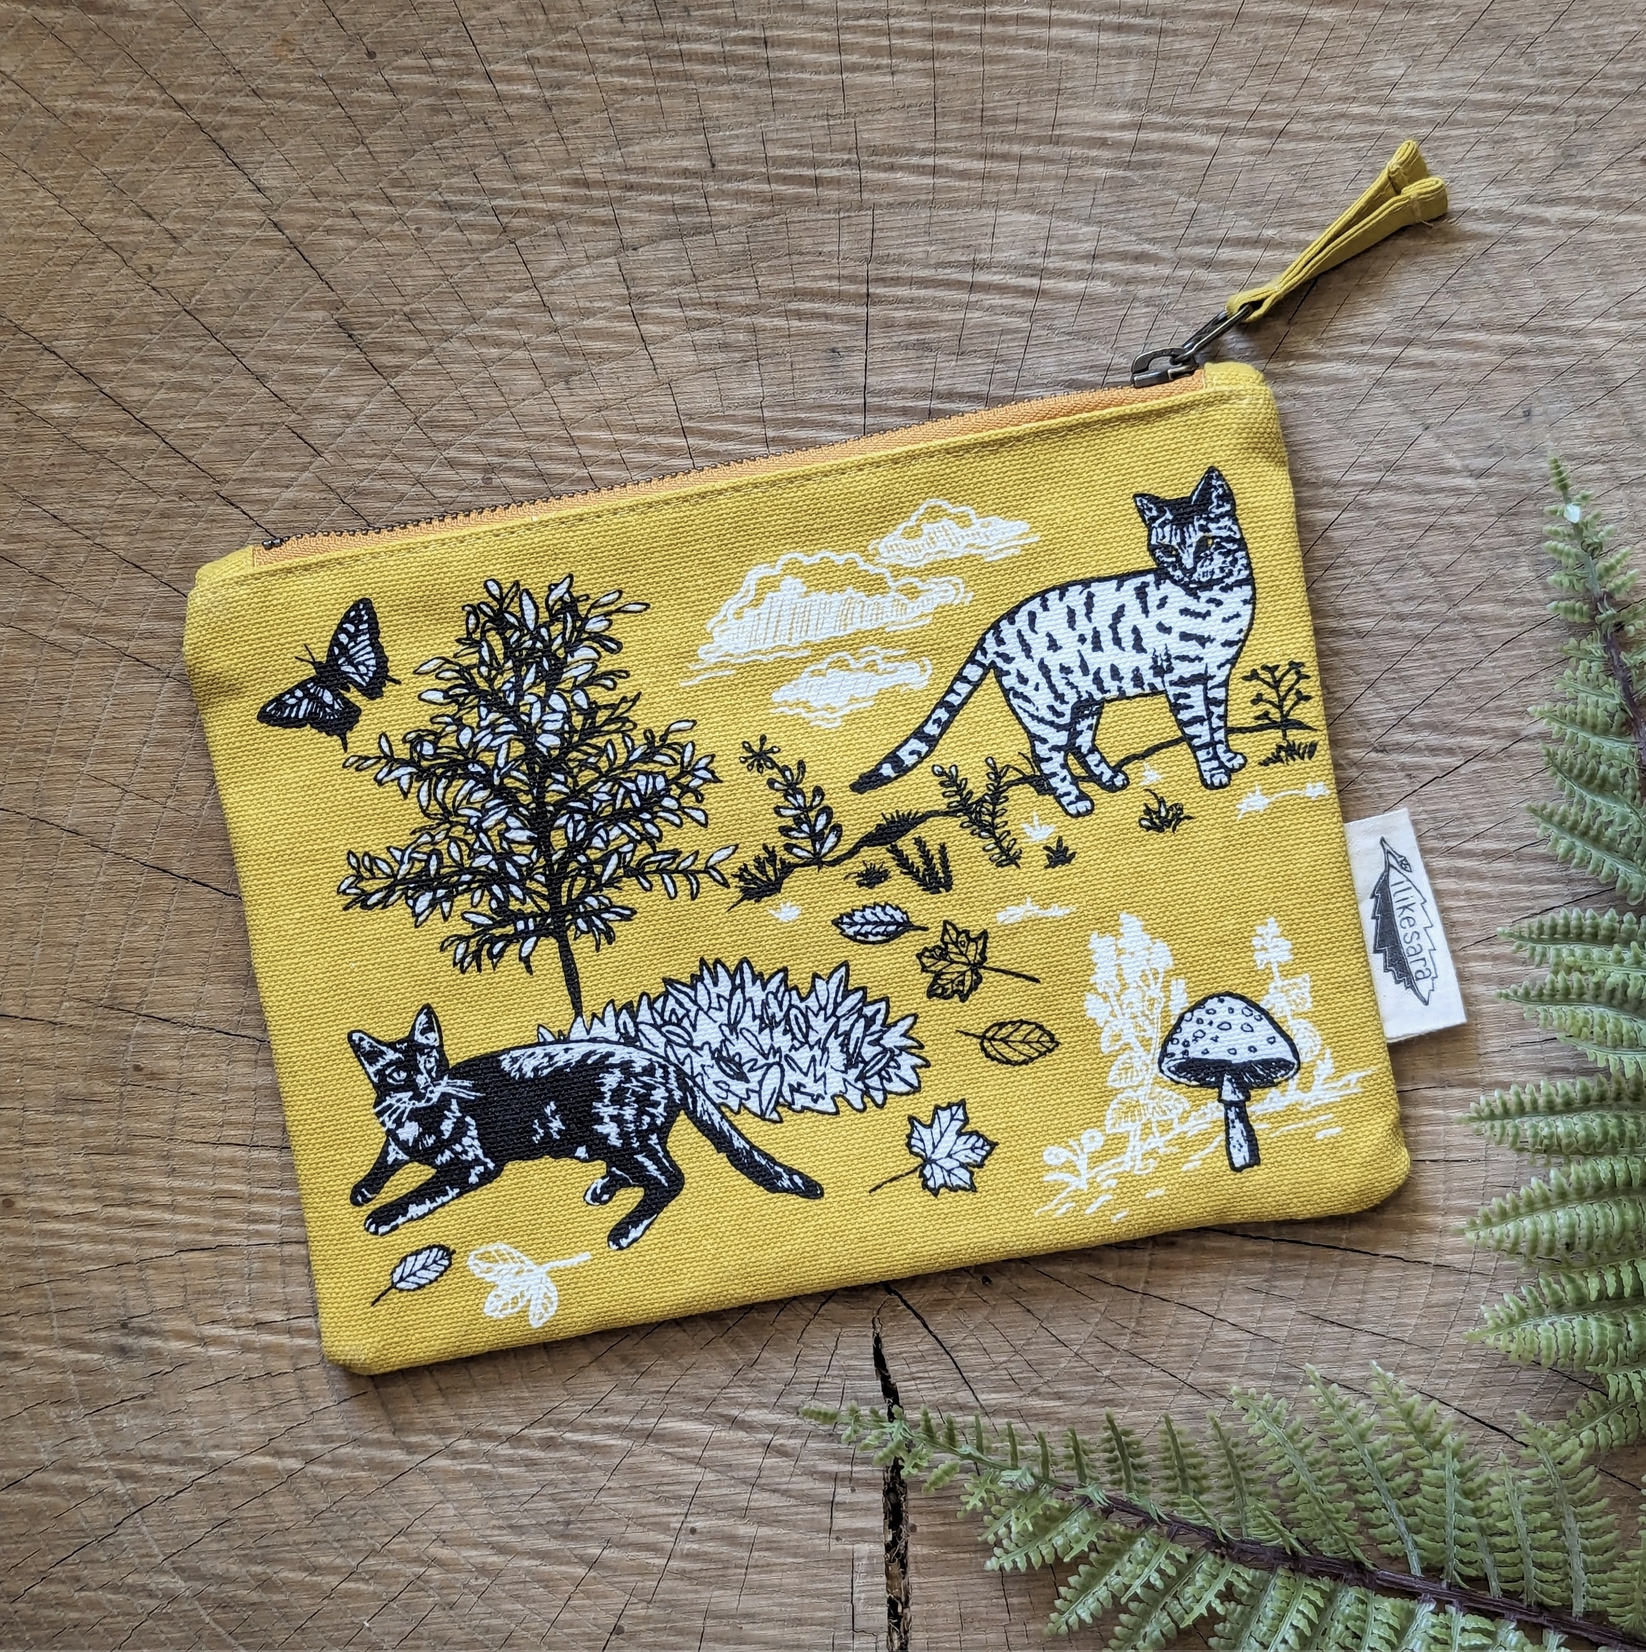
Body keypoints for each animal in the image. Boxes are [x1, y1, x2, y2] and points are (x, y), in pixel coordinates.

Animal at [347, 1005, 823, 1250]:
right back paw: (606, 1187)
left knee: (670, 1177)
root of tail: (668, 1064)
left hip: (615, 1130)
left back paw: (625, 1229)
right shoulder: (398, 1141)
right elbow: (385, 1158)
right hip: (602, 1138)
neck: (418, 1117)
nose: (427, 1083)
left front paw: (384, 1214)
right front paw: (364, 1189)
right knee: (647, 1169)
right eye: (398, 1073)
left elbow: (421, 1192)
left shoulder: (472, 1164)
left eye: (430, 1061)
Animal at [852, 465, 1255, 818]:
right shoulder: (1184, 679)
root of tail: (995, 627)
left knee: (1080, 743)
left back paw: (1109, 779)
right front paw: (1214, 771)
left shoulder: (1217, 675)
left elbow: (1218, 721)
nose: (1187, 569)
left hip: (1086, 699)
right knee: (1048, 755)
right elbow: (1200, 731)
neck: (1221, 598)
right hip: (1047, 709)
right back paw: (1075, 801)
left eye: (1205, 542)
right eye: (1168, 550)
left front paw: (1228, 757)